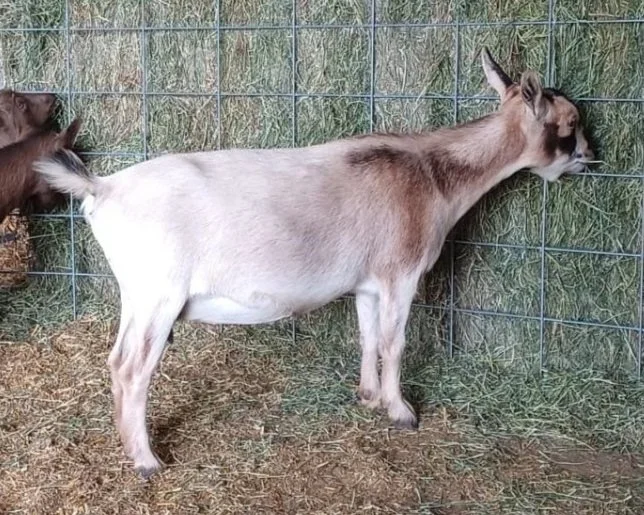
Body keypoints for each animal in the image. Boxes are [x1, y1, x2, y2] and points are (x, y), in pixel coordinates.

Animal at [34, 49, 594, 478]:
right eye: (570, 123)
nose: (589, 156)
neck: (433, 173)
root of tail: (102, 189)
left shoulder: (367, 283)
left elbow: (368, 335)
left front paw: (368, 396)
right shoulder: (401, 272)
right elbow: (394, 341)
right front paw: (401, 412)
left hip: (137, 296)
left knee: (115, 361)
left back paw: (126, 442)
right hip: (159, 295)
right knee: (134, 369)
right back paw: (147, 461)